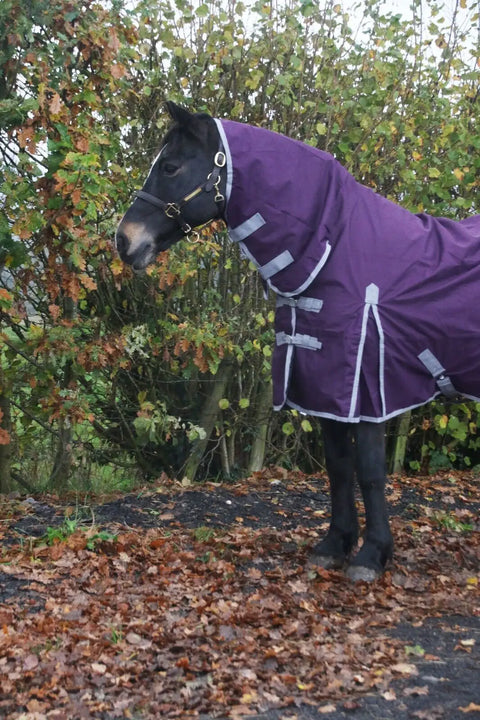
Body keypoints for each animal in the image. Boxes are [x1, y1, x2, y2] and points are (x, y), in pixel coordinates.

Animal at [116, 101, 480, 581]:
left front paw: (372, 555)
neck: (334, 248)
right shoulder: (323, 390)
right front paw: (334, 544)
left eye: (171, 166)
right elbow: (338, 468)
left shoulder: (366, 391)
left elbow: (369, 471)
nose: (123, 241)